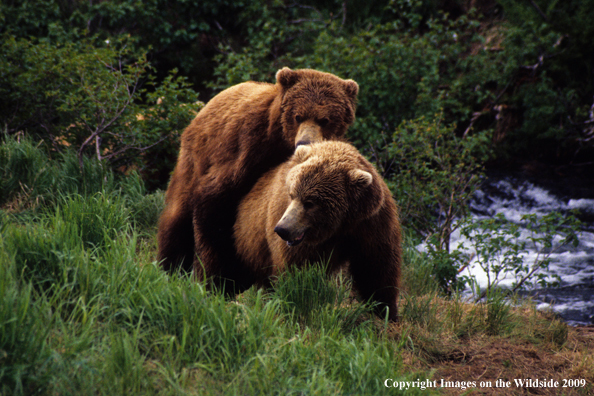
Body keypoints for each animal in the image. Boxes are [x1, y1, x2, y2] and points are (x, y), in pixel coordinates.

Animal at [157, 67, 356, 290]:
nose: (305, 141)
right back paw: (170, 265)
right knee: (177, 214)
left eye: (325, 120)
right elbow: (212, 201)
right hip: (194, 158)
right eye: (298, 116)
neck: (280, 142)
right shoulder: (248, 150)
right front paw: (213, 276)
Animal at [234, 141, 400, 320]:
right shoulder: (300, 245)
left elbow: (377, 269)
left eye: (310, 203)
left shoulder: (372, 225)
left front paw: (386, 311)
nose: (282, 229)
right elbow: (297, 274)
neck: (340, 225)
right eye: (291, 194)